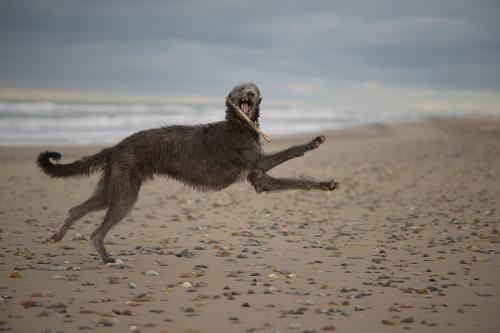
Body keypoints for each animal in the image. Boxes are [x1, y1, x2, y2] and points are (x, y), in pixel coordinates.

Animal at [37, 81, 338, 262]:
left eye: (253, 88)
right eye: (240, 88)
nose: (249, 95)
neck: (239, 125)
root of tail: (115, 147)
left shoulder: (260, 180)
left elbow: (299, 181)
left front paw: (326, 184)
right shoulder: (259, 162)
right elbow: (291, 151)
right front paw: (313, 142)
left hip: (112, 189)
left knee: (76, 209)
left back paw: (57, 236)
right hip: (125, 196)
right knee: (96, 232)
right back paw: (108, 258)